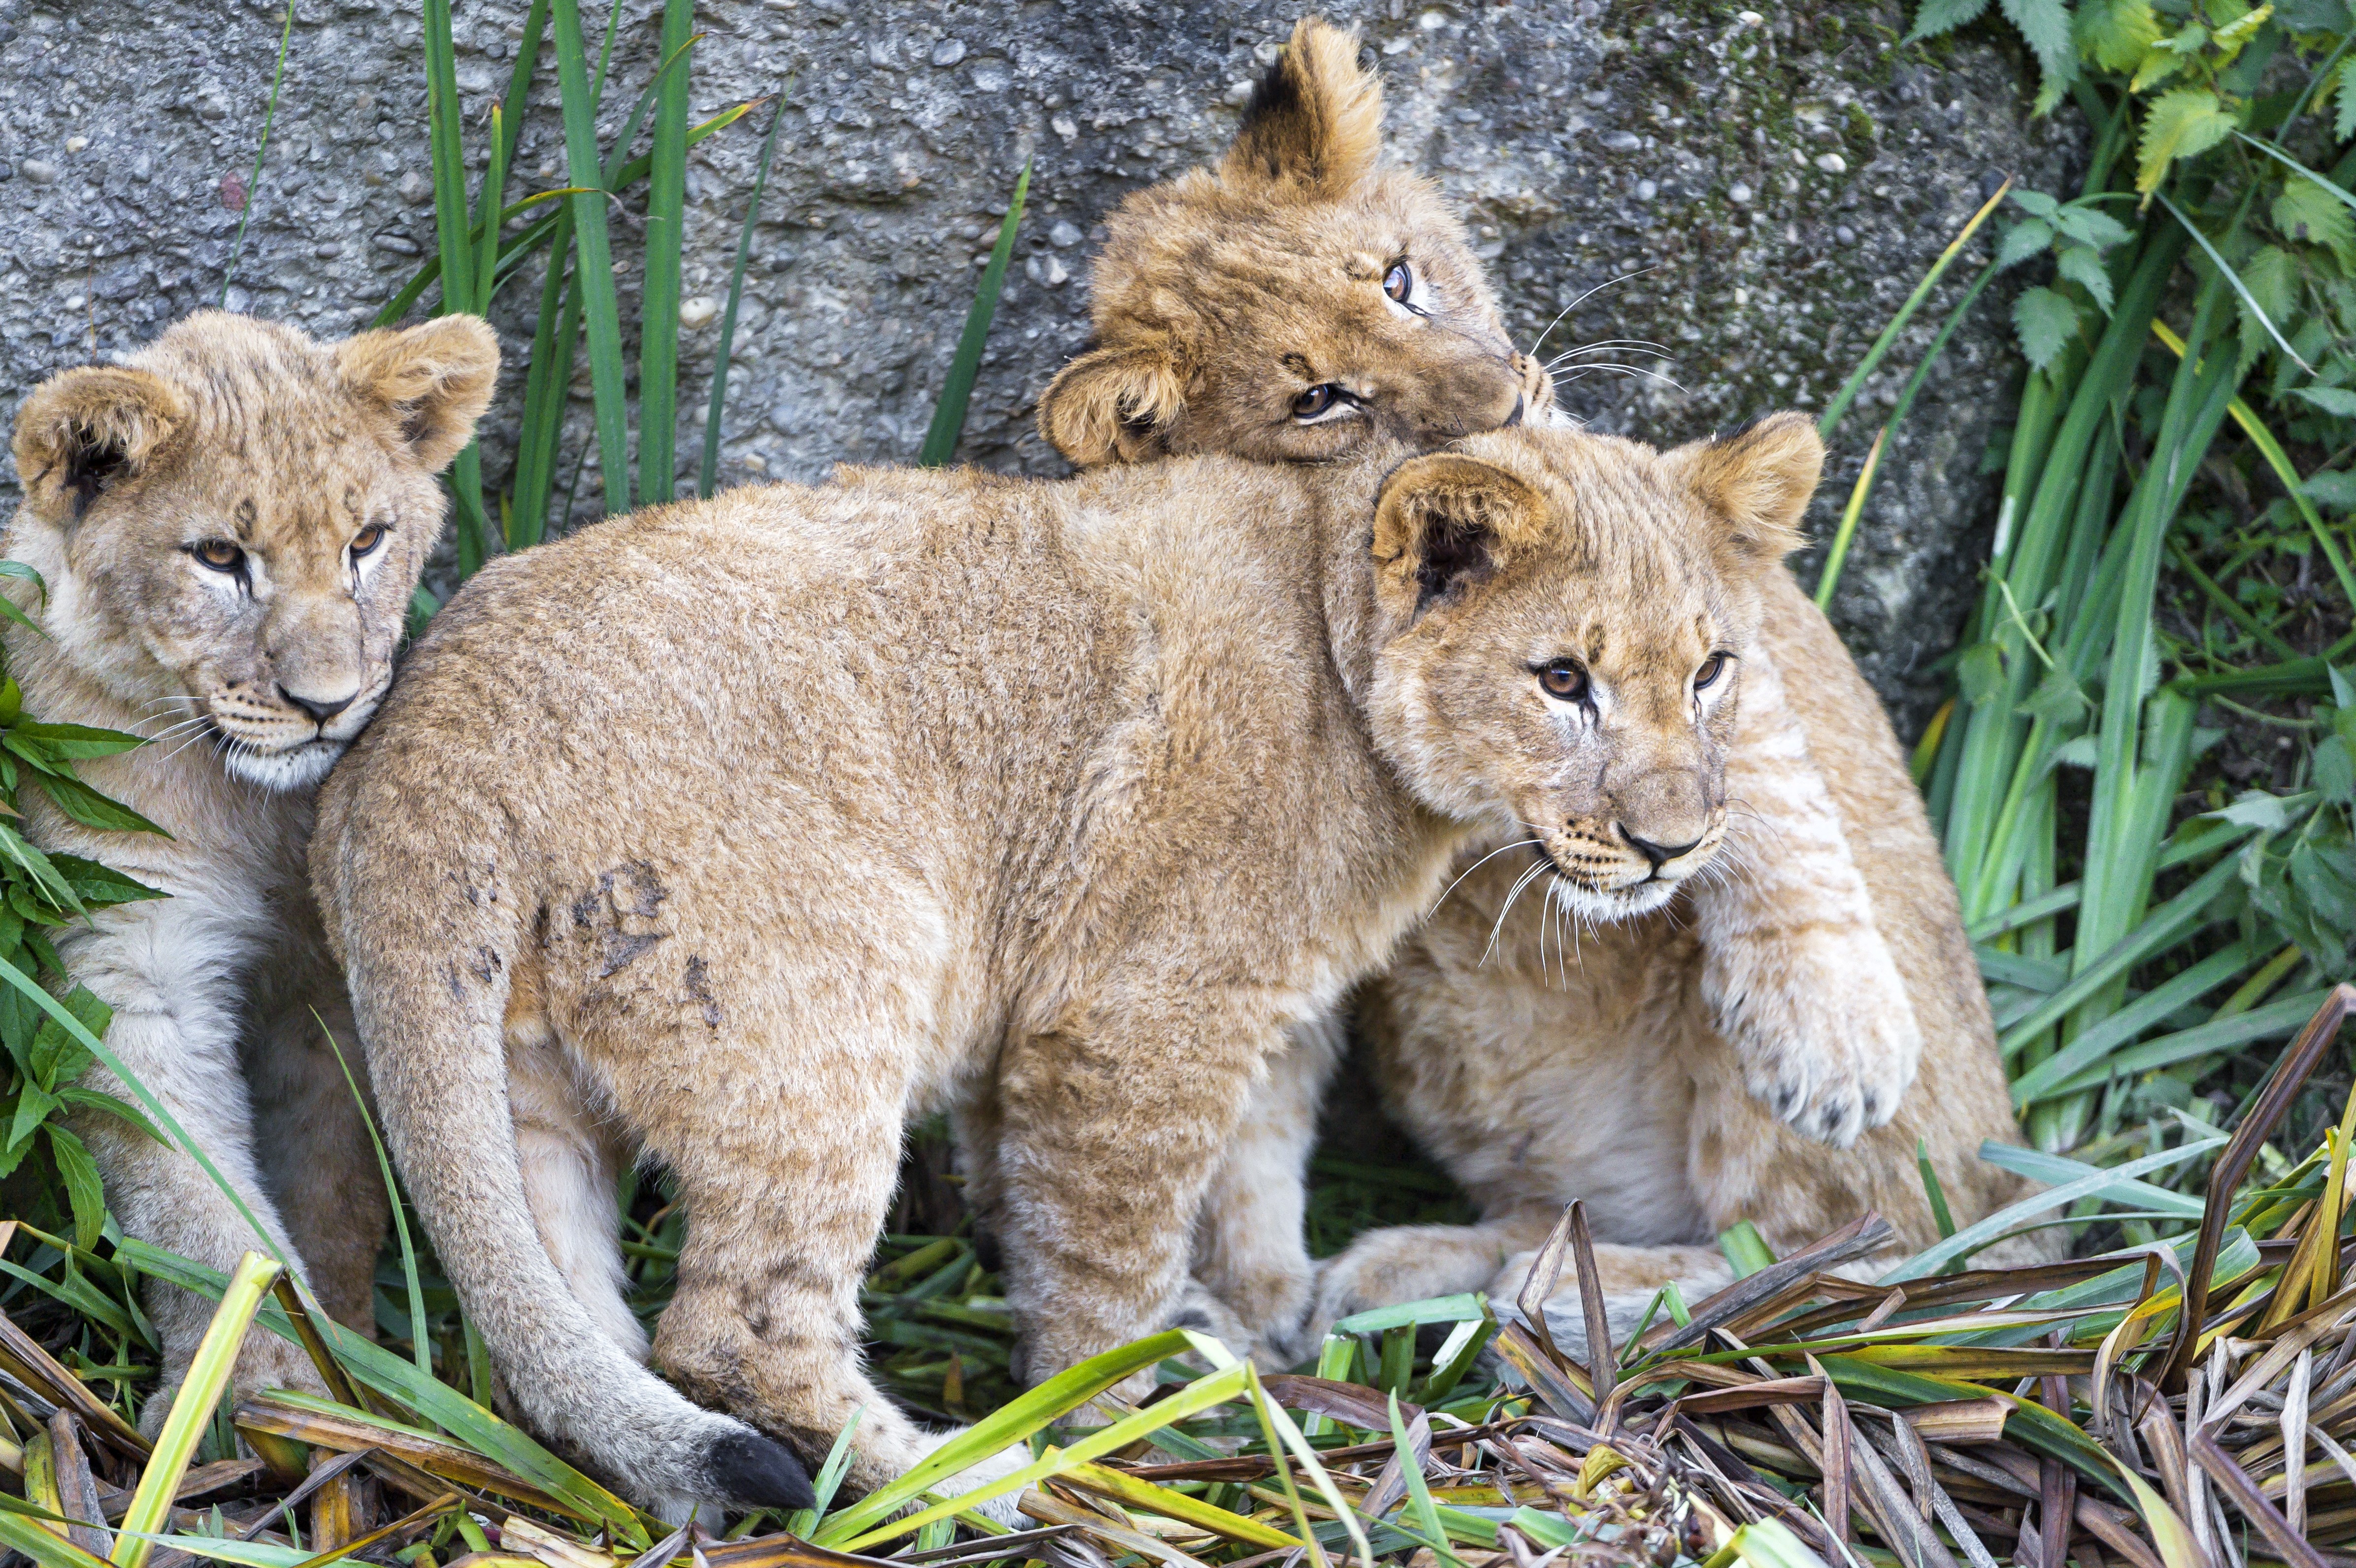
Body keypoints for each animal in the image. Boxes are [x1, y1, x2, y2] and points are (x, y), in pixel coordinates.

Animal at [5, 310, 498, 1415]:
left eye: (367, 541)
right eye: (221, 556)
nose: (327, 704)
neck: (252, 809)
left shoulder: (328, 983)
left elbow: (331, 1180)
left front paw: (349, 1357)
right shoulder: (132, 956)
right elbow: (193, 1195)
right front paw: (256, 1381)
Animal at [307, 410, 1821, 1515]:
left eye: (1710, 670)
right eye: (1563, 678)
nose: (1673, 843)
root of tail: (435, 731)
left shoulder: (1248, 999)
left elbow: (1252, 1164)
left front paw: (1266, 1319)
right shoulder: (1128, 1012)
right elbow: (1106, 1258)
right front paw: (1112, 1420)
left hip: (524, 1077)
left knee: (564, 1317)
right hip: (832, 990)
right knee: (740, 1329)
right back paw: (976, 1479)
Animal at [1031, 16, 2042, 1351]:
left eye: (1401, 279)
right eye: (1319, 398)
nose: (1506, 404)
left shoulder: (1692, 565)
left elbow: (1768, 779)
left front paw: (1834, 1035)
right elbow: (1255, 1096)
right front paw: (1253, 1302)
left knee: (1886, 1265)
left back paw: (1553, 1288)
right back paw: (1442, 1271)